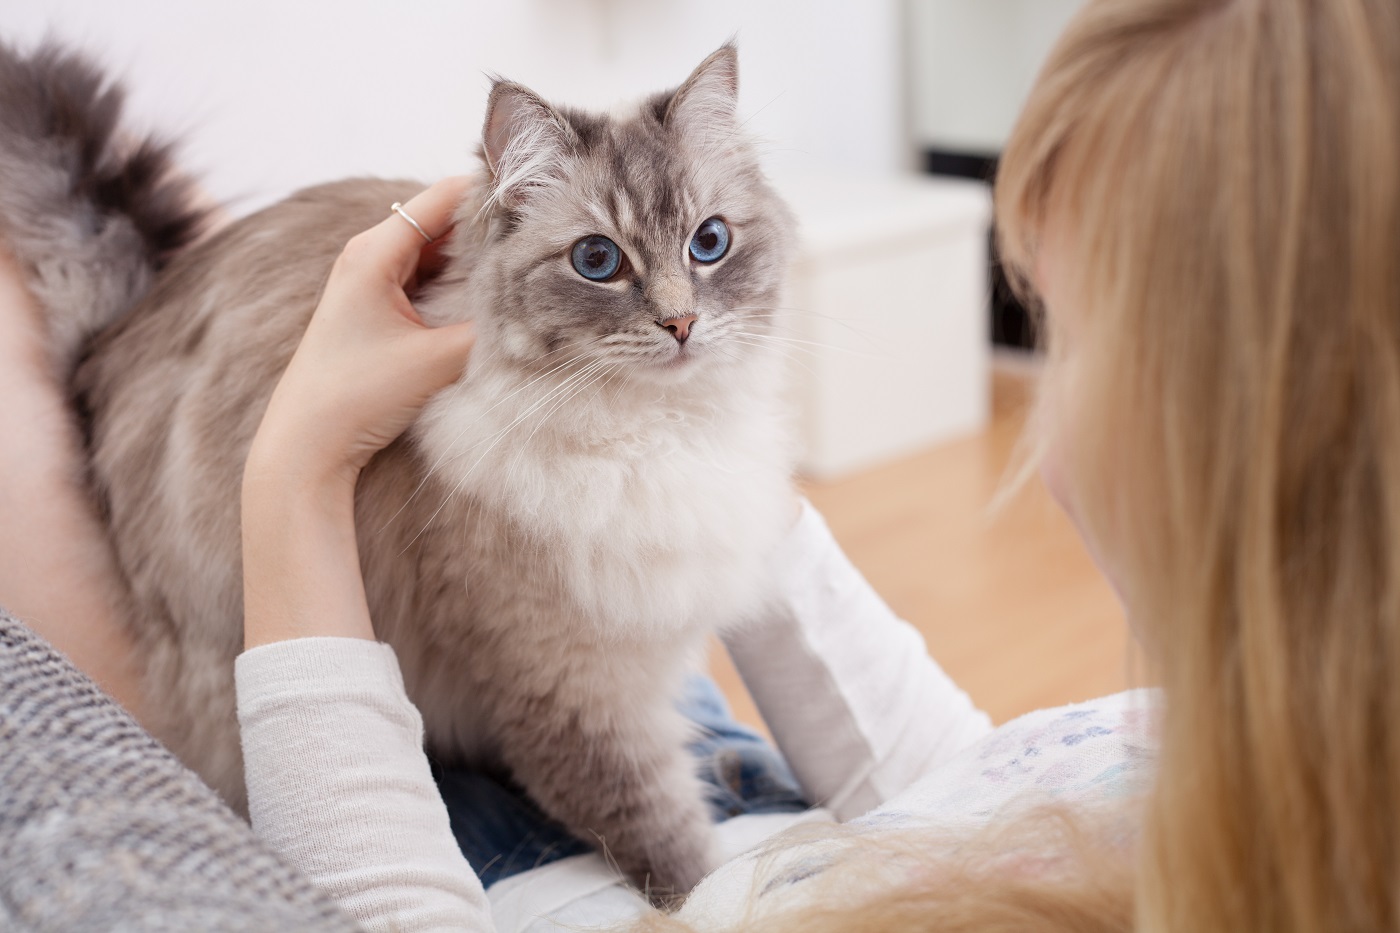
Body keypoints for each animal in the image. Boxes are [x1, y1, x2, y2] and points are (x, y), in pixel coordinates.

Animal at [0, 39, 800, 890]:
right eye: (597, 260)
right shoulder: (581, 695)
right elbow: (677, 856)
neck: (649, 433)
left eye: (709, 243)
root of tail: (108, 344)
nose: (682, 324)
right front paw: (715, 880)